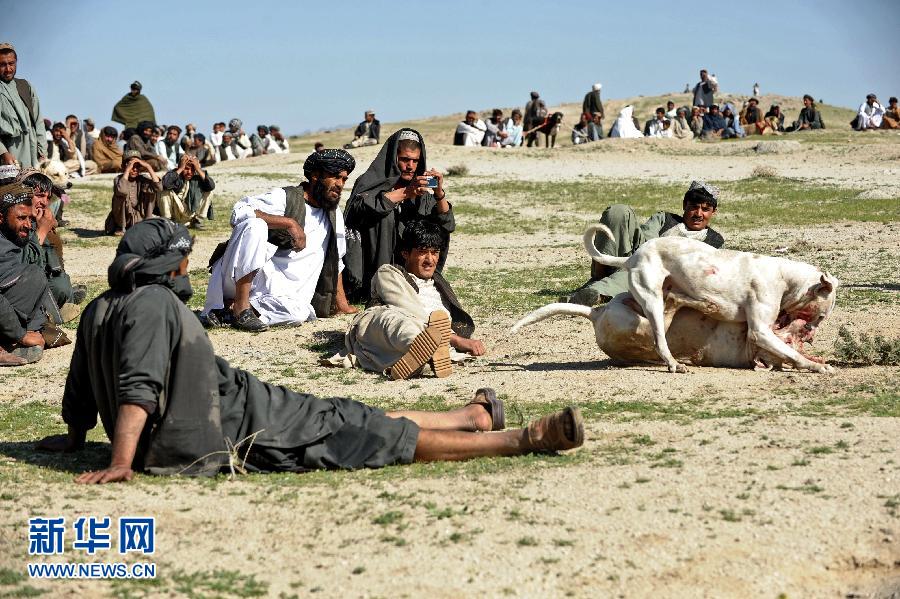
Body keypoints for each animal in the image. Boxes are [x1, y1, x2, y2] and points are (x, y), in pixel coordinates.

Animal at [580, 225, 840, 376]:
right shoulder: (760, 332)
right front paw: (819, 366)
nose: (810, 336)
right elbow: (793, 355)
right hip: (652, 302)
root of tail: (631, 258)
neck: (784, 277)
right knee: (660, 339)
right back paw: (674, 363)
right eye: (821, 316)